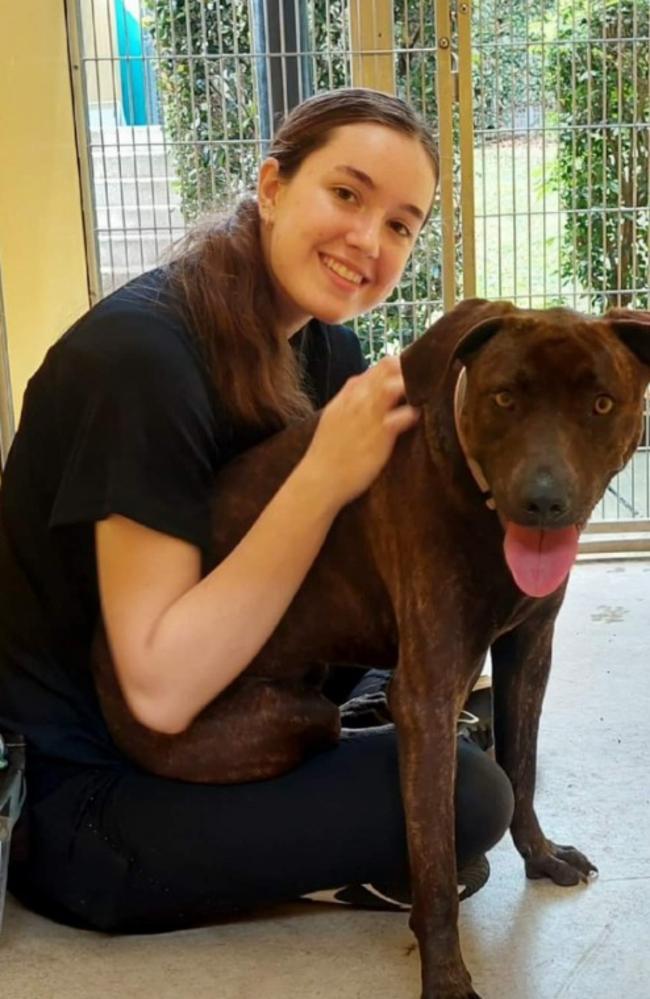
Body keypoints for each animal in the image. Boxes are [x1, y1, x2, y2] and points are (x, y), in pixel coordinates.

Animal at [91, 300, 648, 996]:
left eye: (601, 404)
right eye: (504, 398)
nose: (543, 502)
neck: (473, 492)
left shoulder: (529, 652)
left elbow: (520, 768)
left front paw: (541, 856)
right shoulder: (430, 688)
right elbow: (435, 864)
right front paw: (446, 978)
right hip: (281, 718)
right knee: (330, 729)